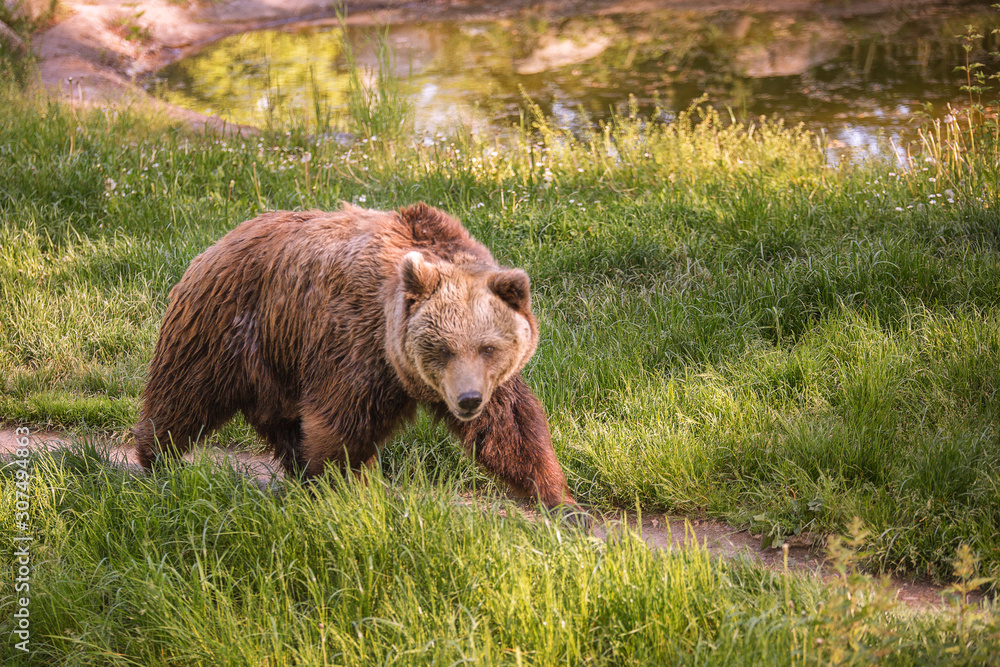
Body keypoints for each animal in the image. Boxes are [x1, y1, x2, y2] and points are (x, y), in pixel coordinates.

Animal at [137, 204, 584, 516]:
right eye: (442, 347)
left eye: (488, 347)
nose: (468, 400)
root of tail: (223, 238)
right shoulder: (355, 348)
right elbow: (339, 427)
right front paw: (343, 491)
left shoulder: (490, 380)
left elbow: (512, 429)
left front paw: (562, 502)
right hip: (225, 328)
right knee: (183, 397)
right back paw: (157, 461)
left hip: (279, 362)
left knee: (281, 422)